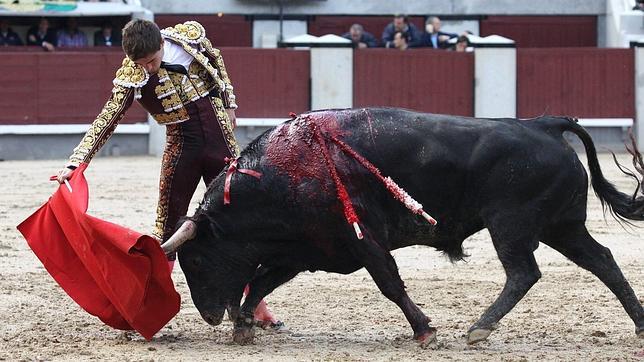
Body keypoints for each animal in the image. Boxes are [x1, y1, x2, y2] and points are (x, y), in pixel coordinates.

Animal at [160, 109, 644, 346]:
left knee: (524, 272)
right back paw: (639, 325)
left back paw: (479, 328)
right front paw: (243, 325)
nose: (207, 315)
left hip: (511, 224)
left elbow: (390, 283)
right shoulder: (306, 250)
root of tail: (543, 126)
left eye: (195, 260)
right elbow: (260, 281)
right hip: (562, 226)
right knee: (602, 260)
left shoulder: (364, 240)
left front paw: (425, 331)